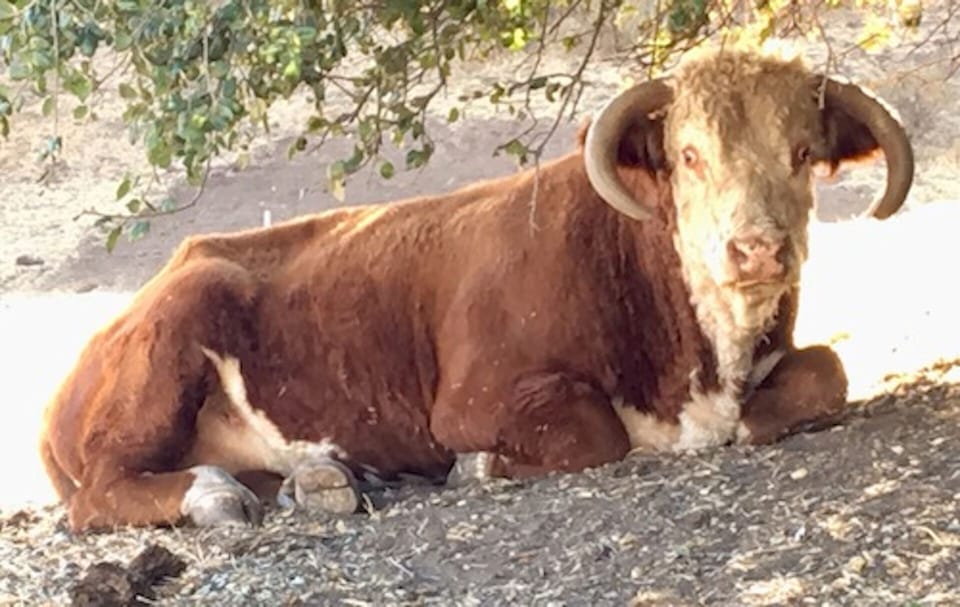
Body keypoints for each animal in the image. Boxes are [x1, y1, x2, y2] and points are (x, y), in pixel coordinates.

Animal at [39, 45, 914, 533]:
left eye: (802, 152)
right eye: (690, 154)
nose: (757, 247)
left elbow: (826, 370)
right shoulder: (472, 399)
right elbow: (593, 432)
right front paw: (478, 467)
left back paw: (325, 483)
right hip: (171, 343)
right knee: (101, 496)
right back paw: (218, 499)